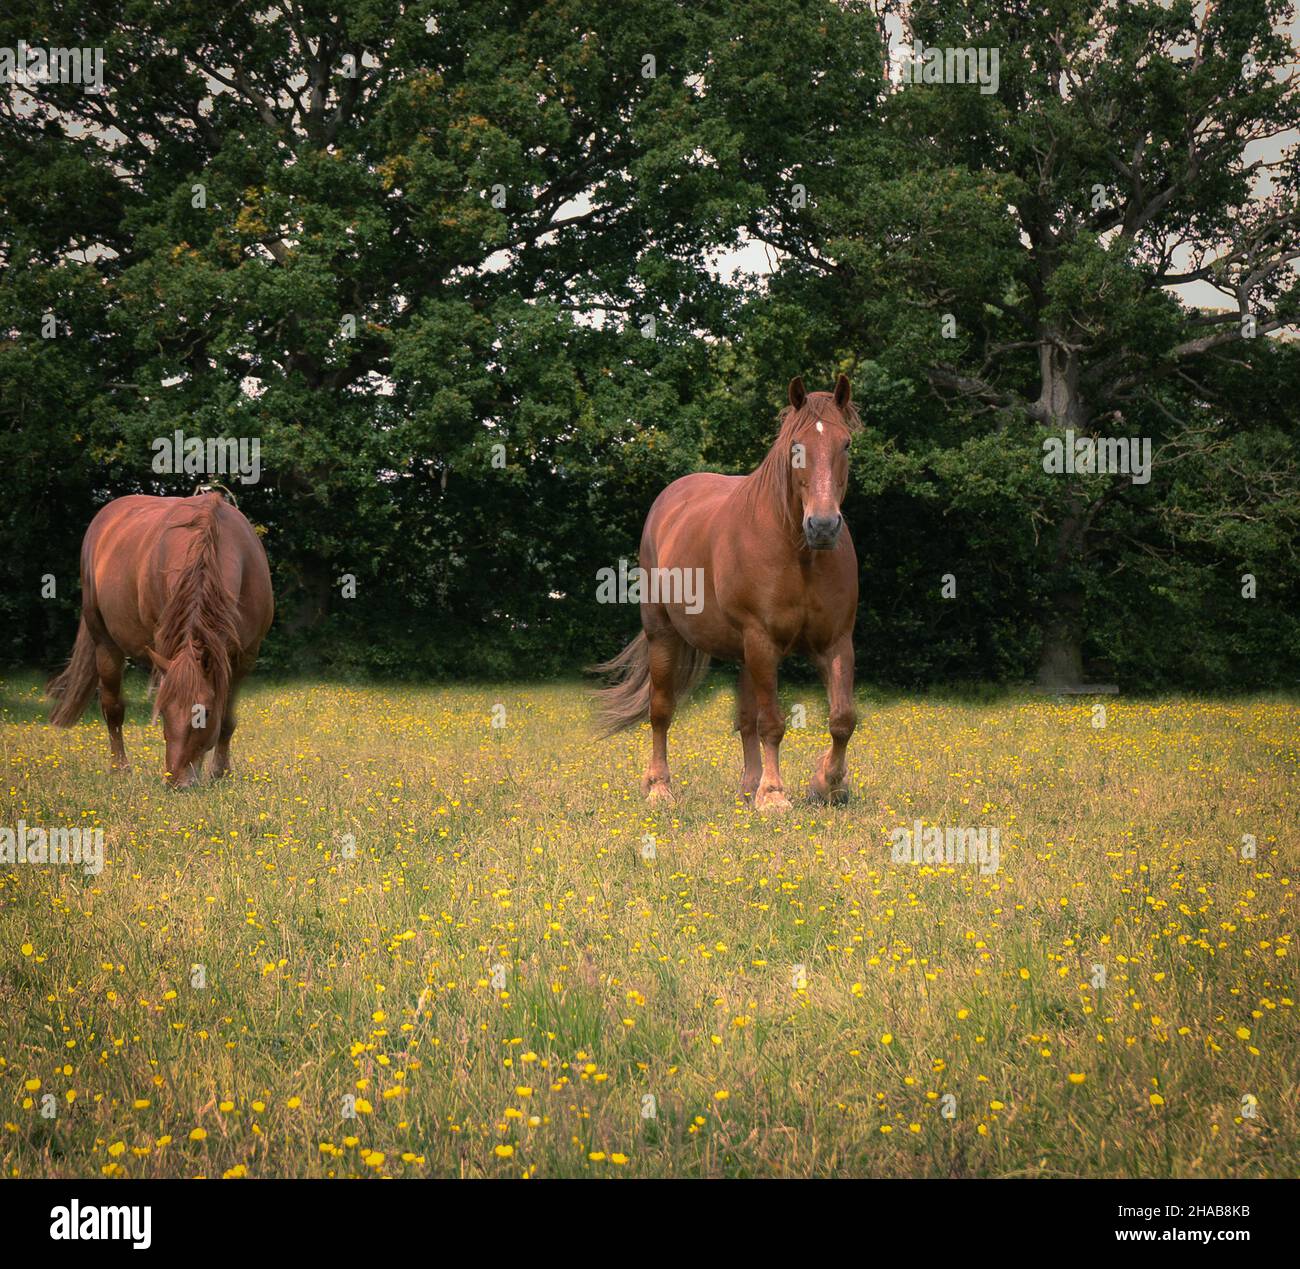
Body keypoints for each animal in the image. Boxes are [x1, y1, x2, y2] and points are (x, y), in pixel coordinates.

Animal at [48, 492, 274, 788]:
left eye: (204, 713)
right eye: (163, 712)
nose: (176, 781)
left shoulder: (244, 656)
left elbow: (227, 719)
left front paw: (220, 772)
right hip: (104, 643)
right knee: (112, 706)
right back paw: (120, 768)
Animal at [594, 374, 861, 810]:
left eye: (846, 444)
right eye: (796, 447)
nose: (822, 526)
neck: (799, 552)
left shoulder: (836, 642)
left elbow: (842, 719)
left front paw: (827, 783)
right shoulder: (762, 641)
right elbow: (772, 723)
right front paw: (775, 796)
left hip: (745, 653)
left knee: (745, 720)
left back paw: (748, 787)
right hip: (664, 636)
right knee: (661, 711)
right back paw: (660, 788)